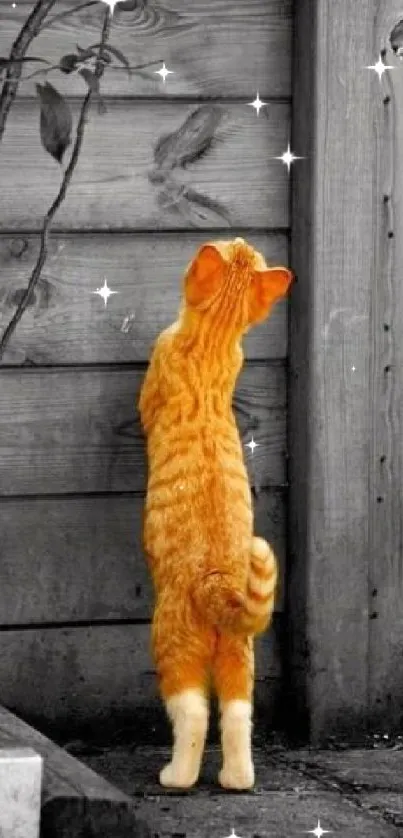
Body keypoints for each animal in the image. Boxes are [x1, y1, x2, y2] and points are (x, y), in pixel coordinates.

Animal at [139, 238, 294, 796]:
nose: (241, 241)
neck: (213, 346)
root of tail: (220, 580)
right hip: (239, 656)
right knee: (236, 715)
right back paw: (236, 779)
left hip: (171, 643)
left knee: (193, 715)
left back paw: (177, 777)